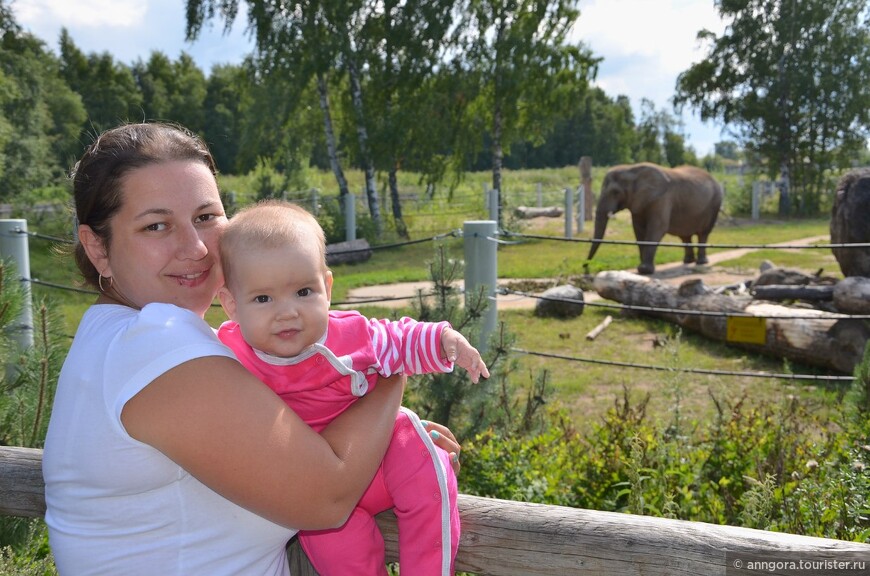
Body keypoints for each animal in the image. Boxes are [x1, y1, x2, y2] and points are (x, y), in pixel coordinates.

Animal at [588, 163, 724, 276]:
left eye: (615, 192)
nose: (586, 265)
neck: (632, 169)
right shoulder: (638, 202)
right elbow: (638, 230)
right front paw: (642, 269)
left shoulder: (662, 198)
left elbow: (657, 228)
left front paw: (644, 270)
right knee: (685, 235)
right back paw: (687, 261)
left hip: (714, 204)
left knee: (703, 233)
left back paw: (701, 262)